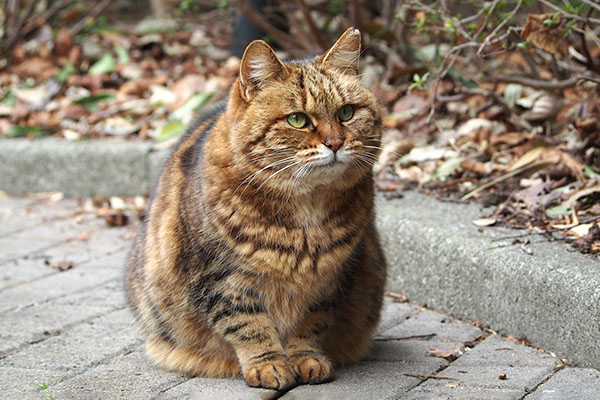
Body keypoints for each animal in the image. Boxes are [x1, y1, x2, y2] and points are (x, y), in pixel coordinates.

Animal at [127, 28, 390, 390]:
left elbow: (310, 324)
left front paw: (306, 358)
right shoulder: (219, 279)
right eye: (298, 119)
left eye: (347, 112)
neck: (306, 216)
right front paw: (269, 364)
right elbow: (248, 326)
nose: (335, 142)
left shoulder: (330, 280)